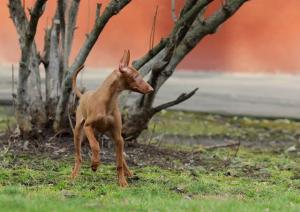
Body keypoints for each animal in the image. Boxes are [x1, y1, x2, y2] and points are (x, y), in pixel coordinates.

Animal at [70, 49, 154, 186]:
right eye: (136, 76)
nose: (151, 89)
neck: (108, 101)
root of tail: (83, 95)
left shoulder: (119, 137)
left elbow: (119, 162)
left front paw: (122, 182)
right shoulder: (88, 126)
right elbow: (95, 145)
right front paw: (95, 164)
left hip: (114, 136)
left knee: (122, 156)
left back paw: (129, 173)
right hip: (78, 131)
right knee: (79, 157)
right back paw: (74, 175)